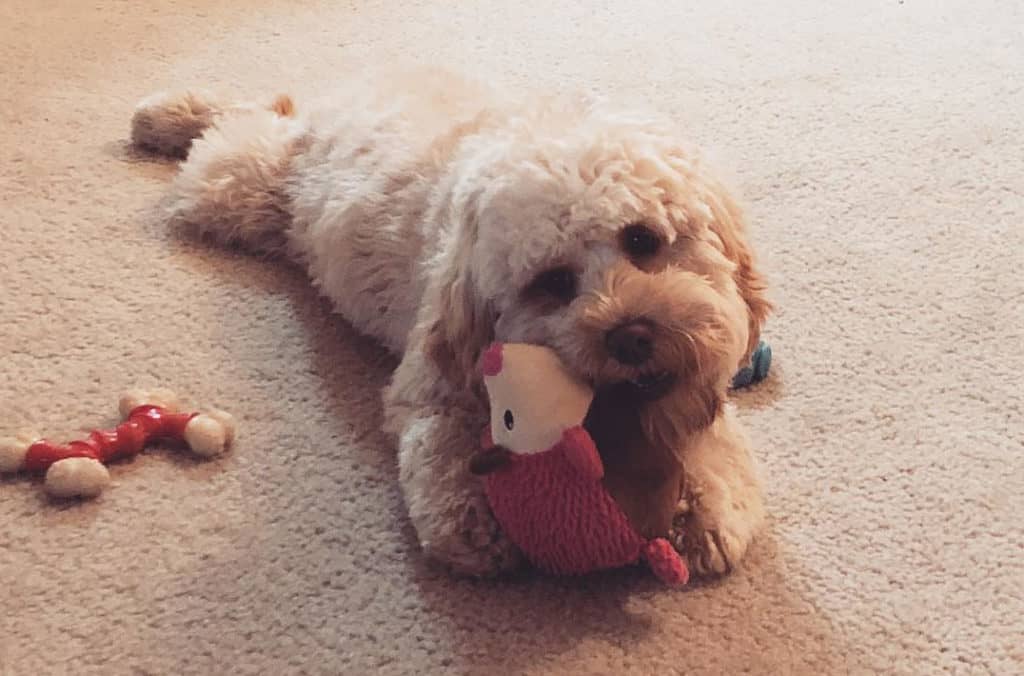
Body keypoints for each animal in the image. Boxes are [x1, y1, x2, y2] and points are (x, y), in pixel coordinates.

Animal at [128, 68, 770, 577]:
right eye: (554, 283)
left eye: (643, 240)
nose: (632, 337)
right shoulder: (433, 381)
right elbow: (444, 446)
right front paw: (470, 519)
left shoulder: (697, 384)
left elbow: (712, 439)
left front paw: (708, 508)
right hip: (238, 190)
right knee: (240, 123)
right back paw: (168, 114)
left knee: (267, 109)